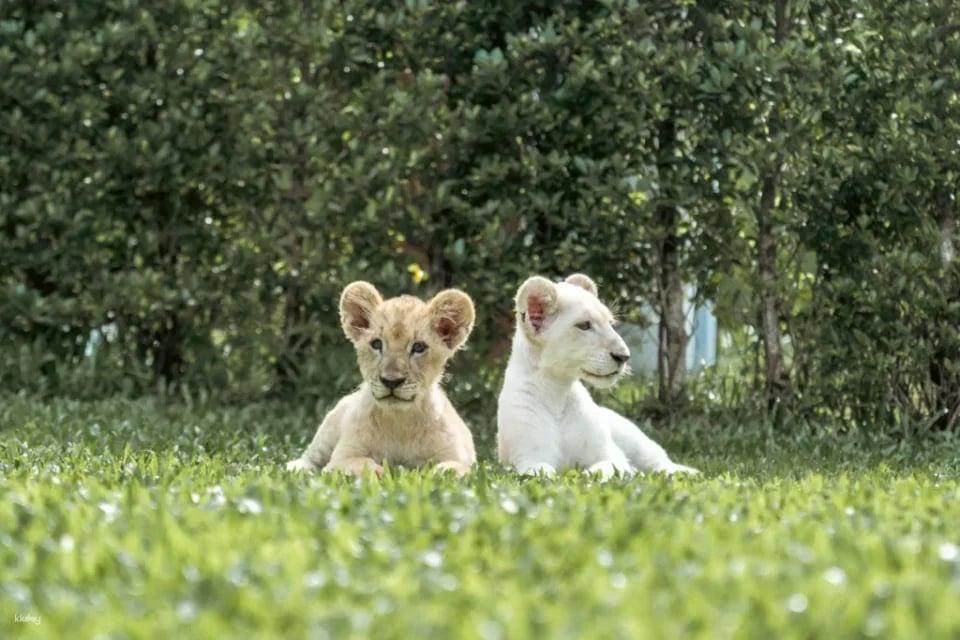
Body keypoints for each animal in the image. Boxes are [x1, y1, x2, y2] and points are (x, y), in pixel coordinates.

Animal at [286, 281, 477, 477]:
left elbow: (451, 469)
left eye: (418, 347)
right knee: (307, 458)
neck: (400, 420)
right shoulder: (341, 459)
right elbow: (363, 465)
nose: (391, 381)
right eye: (376, 344)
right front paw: (381, 472)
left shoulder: (462, 460)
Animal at [497, 273, 698, 478]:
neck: (558, 392)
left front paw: (587, 476)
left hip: (633, 437)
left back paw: (687, 472)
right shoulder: (529, 457)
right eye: (584, 325)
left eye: (610, 323)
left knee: (660, 462)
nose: (624, 356)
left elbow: (604, 468)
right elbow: (542, 472)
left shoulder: (610, 454)